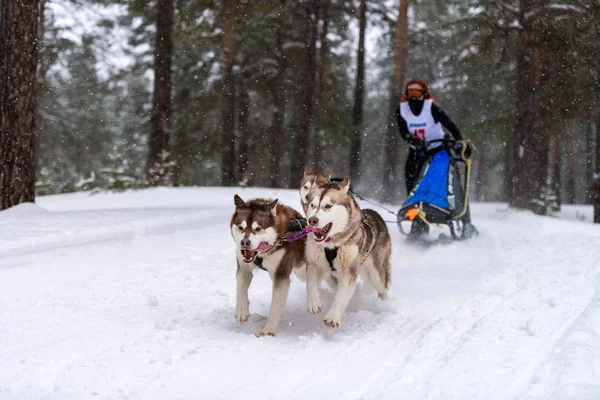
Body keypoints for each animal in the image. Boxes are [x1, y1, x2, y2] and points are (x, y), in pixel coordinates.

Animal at [229, 195, 308, 336]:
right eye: (240, 227)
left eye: (258, 229)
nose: (245, 242)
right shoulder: (243, 268)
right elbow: (240, 288)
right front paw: (242, 310)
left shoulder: (281, 275)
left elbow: (275, 306)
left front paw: (269, 330)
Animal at [302, 174, 392, 328]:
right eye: (312, 205)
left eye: (328, 206)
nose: (312, 220)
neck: (331, 244)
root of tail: (376, 214)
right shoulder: (314, 263)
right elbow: (311, 283)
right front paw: (313, 303)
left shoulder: (348, 271)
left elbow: (341, 295)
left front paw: (333, 317)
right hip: (331, 275)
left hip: (376, 274)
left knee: (383, 288)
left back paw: (384, 305)